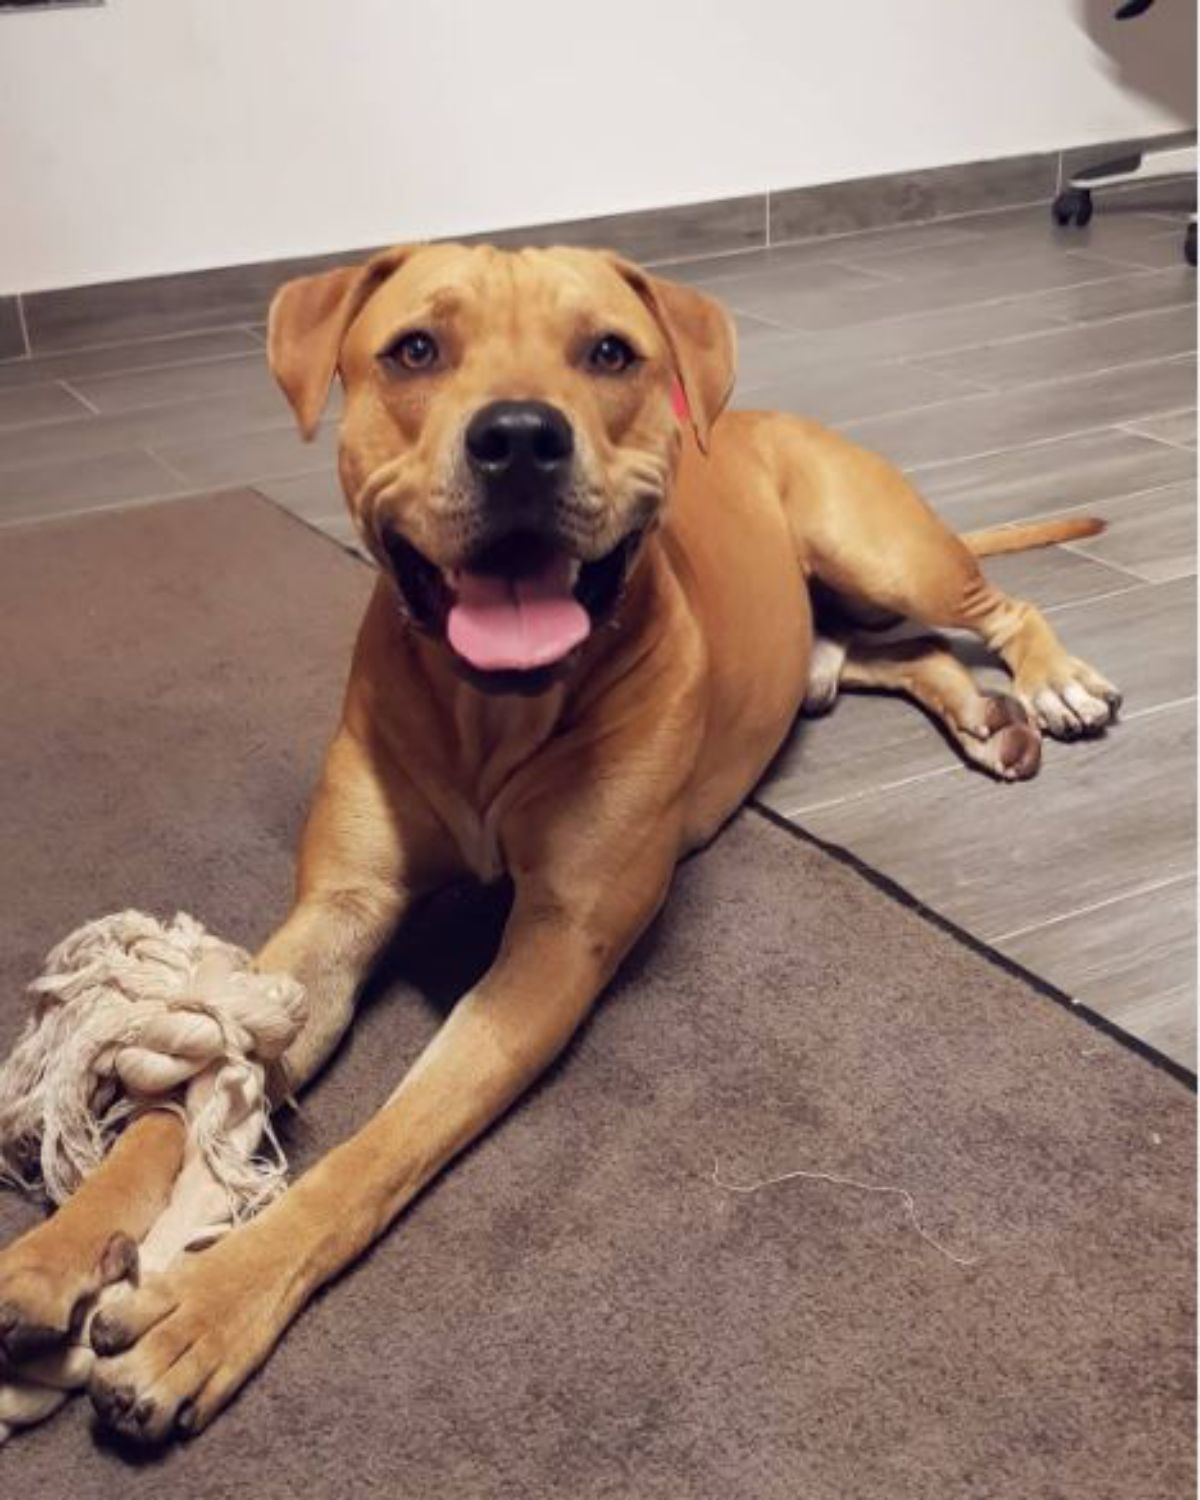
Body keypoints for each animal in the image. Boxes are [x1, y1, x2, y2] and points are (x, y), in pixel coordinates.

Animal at [0, 240, 1122, 1434]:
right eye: (415, 349)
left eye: (610, 353)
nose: (520, 436)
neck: (493, 713)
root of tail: (767, 417)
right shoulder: (336, 916)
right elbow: (196, 1079)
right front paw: (62, 1244)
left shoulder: (551, 952)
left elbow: (376, 1149)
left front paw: (210, 1303)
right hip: (830, 628)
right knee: (906, 653)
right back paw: (985, 717)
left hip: (879, 546)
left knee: (994, 608)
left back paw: (1051, 684)